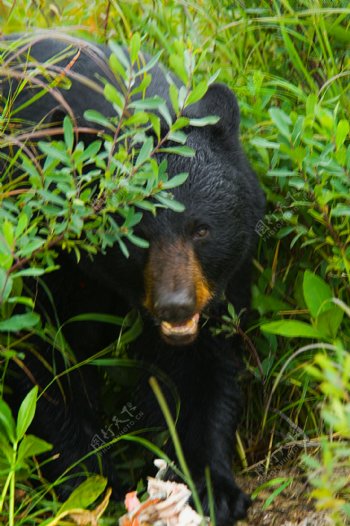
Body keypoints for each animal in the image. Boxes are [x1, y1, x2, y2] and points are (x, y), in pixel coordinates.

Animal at [2, 34, 266, 526]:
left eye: (201, 229)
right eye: (134, 235)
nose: (176, 305)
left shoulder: (227, 273)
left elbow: (203, 369)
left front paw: (213, 488)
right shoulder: (40, 259)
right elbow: (42, 360)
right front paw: (91, 479)